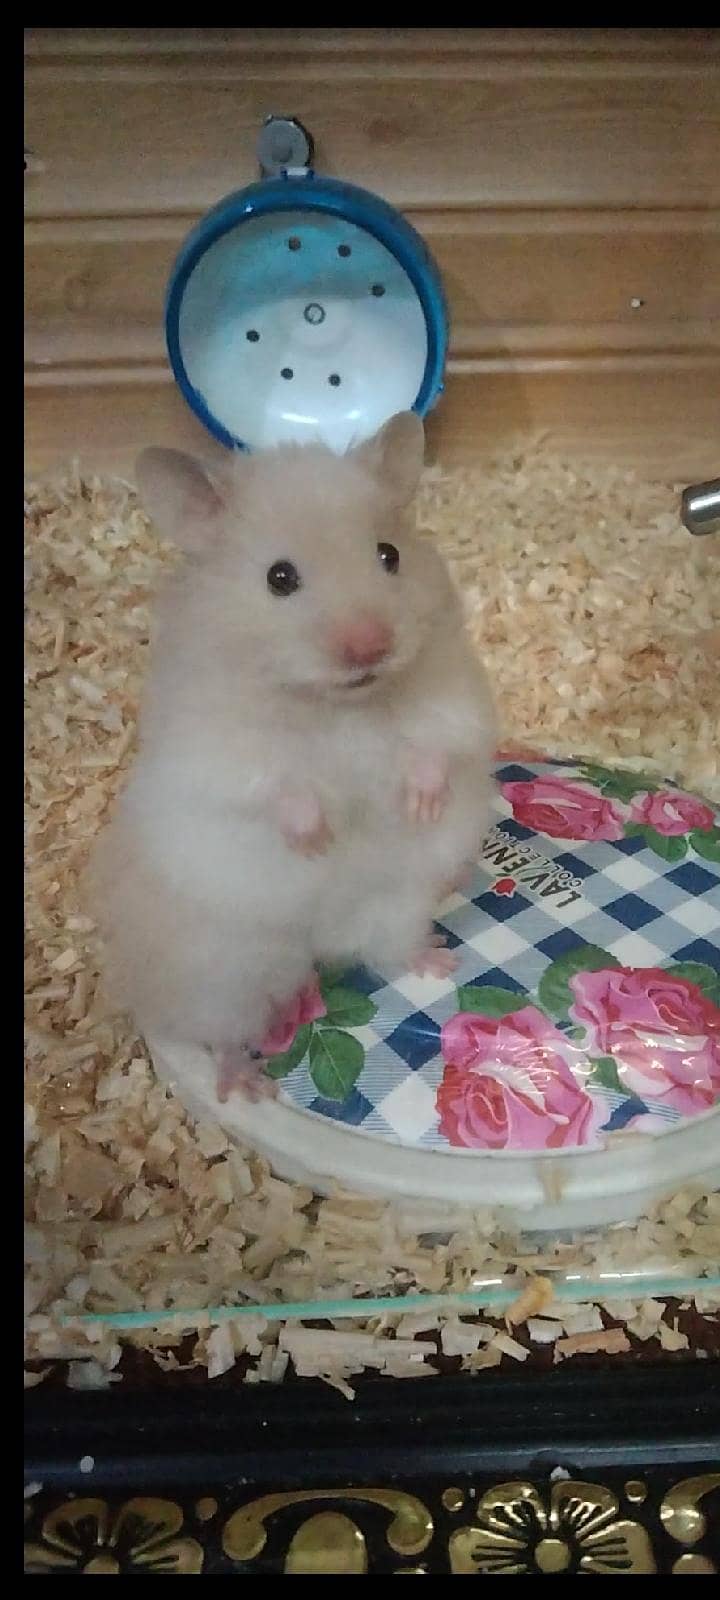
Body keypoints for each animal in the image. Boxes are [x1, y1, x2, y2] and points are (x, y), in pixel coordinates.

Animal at [88, 413, 496, 1101]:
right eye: (280, 578)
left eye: (389, 555)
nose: (370, 646)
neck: (340, 705)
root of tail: (320, 941)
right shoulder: (220, 749)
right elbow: (280, 787)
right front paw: (316, 841)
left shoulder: (451, 697)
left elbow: (431, 746)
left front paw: (420, 805)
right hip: (224, 975)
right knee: (223, 1033)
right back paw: (245, 1086)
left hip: (397, 903)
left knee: (386, 951)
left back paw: (440, 959)